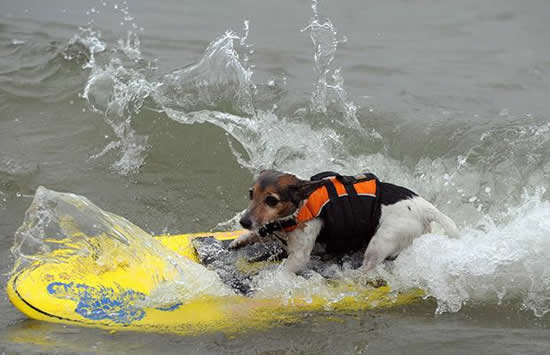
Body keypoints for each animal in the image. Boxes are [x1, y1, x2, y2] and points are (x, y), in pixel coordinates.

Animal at [229, 171, 462, 274]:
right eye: (251, 194)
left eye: (271, 200)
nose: (244, 221)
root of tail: (423, 206)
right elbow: (256, 234)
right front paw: (240, 240)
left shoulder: (299, 257)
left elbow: (286, 268)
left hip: (380, 242)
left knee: (368, 267)